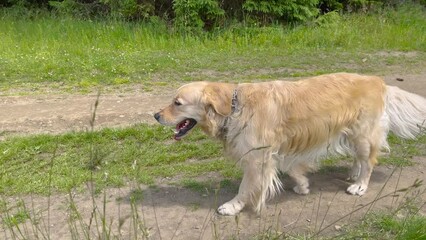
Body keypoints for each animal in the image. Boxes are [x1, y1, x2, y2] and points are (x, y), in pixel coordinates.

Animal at [153, 72, 426, 216]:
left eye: (177, 103)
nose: (155, 115)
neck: (233, 106)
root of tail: (378, 81)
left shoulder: (257, 156)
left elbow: (245, 187)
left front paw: (233, 206)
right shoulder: (276, 149)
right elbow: (290, 167)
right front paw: (302, 184)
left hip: (362, 134)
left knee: (369, 161)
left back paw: (360, 184)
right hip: (352, 134)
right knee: (360, 159)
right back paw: (353, 174)